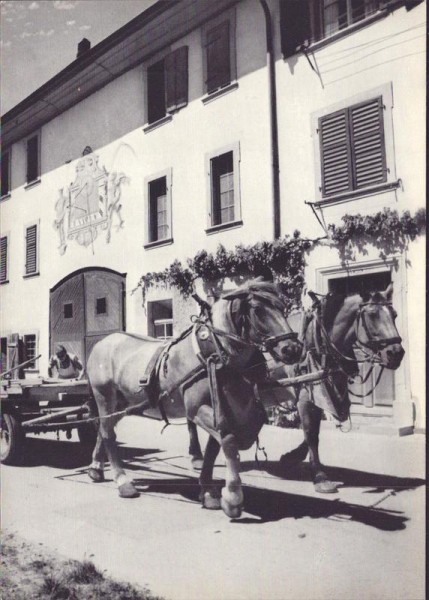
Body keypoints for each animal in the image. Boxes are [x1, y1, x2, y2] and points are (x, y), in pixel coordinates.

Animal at [86, 278, 300, 516]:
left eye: (282, 306)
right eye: (257, 309)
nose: (292, 349)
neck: (216, 352)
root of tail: (103, 342)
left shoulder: (221, 409)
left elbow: (213, 449)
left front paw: (207, 491)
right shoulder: (197, 409)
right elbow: (229, 441)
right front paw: (232, 497)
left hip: (124, 403)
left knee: (104, 428)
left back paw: (95, 467)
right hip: (105, 396)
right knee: (108, 433)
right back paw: (122, 481)